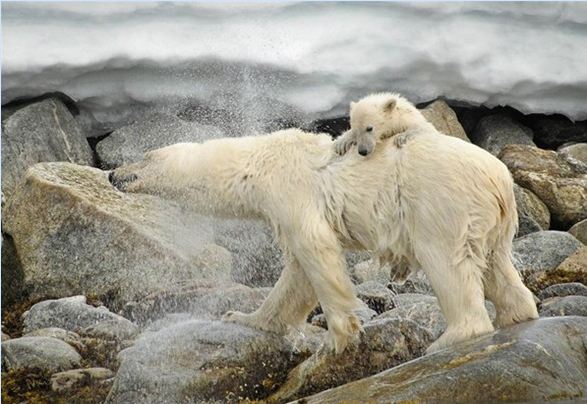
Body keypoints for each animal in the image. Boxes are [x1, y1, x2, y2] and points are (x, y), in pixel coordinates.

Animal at [109, 94, 536, 354]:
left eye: (144, 157)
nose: (113, 174)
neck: (258, 161)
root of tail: (500, 180)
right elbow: (295, 277)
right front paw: (244, 318)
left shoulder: (290, 191)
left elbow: (317, 251)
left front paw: (339, 337)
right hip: (487, 221)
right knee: (496, 265)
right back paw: (518, 314)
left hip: (440, 204)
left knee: (448, 263)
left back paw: (450, 338)